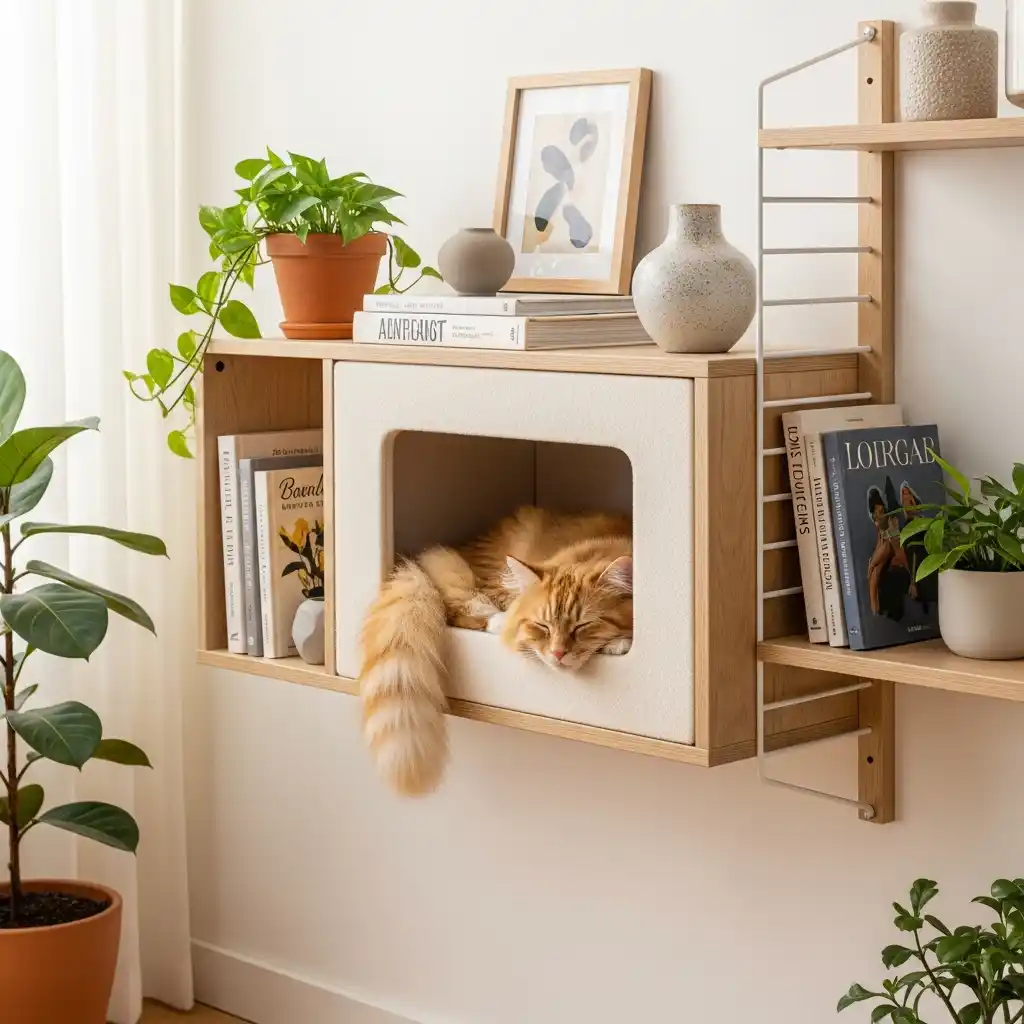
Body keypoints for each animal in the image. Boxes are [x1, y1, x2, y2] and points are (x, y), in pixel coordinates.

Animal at [359, 506, 633, 796]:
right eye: (543, 626)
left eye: (582, 626)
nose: (557, 654)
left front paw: (619, 641)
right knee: (462, 606)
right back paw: (501, 620)